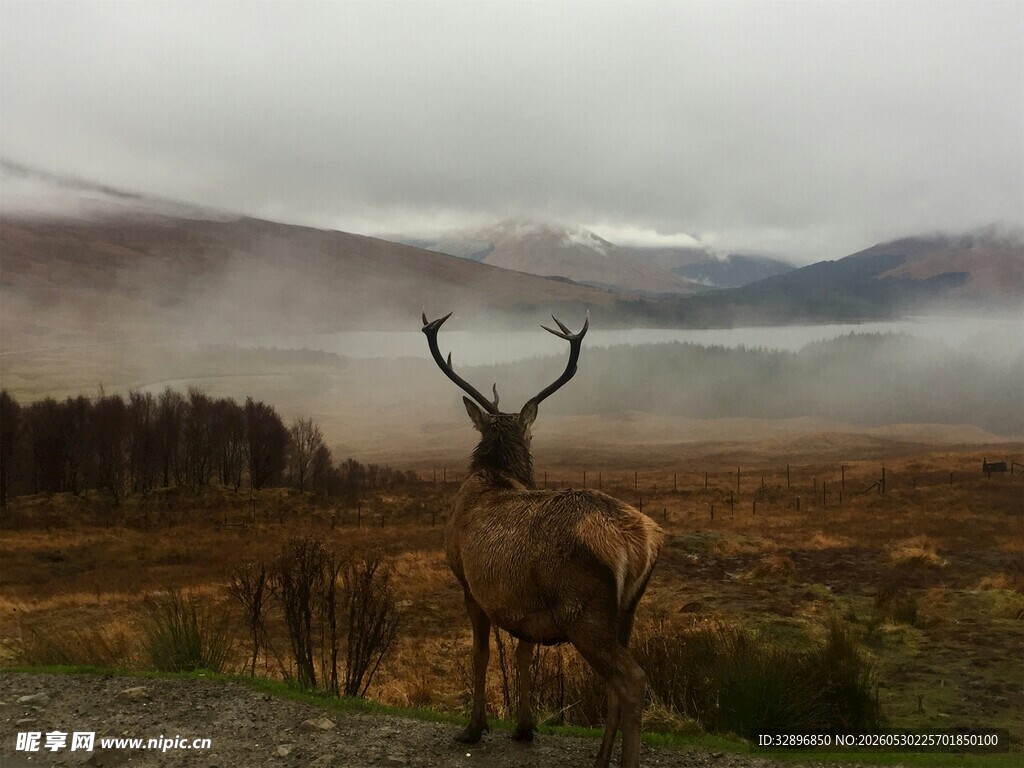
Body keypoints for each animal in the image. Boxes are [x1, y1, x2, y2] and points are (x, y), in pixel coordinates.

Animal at [422, 310, 664, 768]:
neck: (494, 477)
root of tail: (640, 545)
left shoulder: (468, 584)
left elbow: (480, 656)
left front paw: (473, 728)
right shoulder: (523, 604)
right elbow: (523, 655)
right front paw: (523, 727)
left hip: (583, 610)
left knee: (633, 680)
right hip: (626, 611)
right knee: (616, 686)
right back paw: (600, 760)